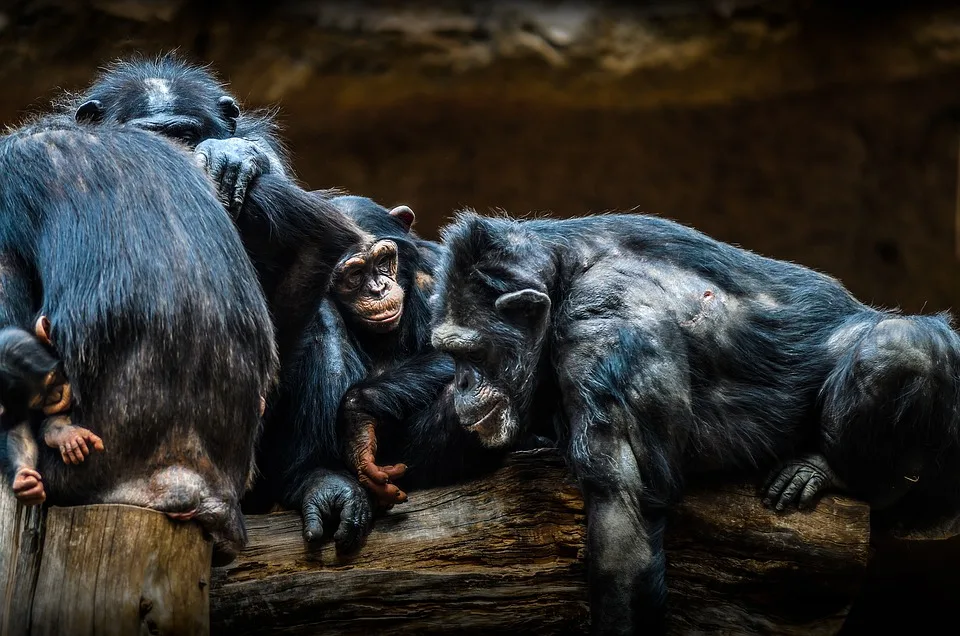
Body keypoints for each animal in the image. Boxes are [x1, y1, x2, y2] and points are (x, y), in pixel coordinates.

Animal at [408, 211, 956, 632]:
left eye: (472, 351)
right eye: (449, 353)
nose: (461, 384)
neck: (562, 276)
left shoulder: (606, 326)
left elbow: (623, 511)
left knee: (899, 346)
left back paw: (828, 471)